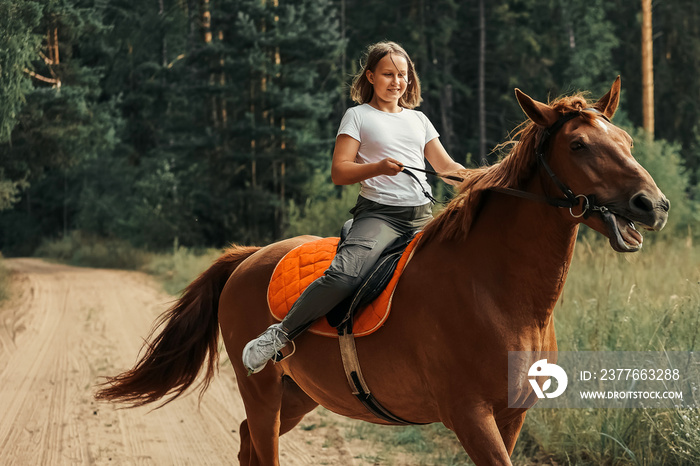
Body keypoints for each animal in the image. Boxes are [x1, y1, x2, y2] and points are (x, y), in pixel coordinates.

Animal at [97, 78, 668, 464]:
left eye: (626, 140)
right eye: (578, 145)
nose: (653, 205)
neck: (494, 292)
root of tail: (248, 257)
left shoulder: (511, 415)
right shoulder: (469, 415)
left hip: (298, 394)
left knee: (244, 444)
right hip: (260, 389)